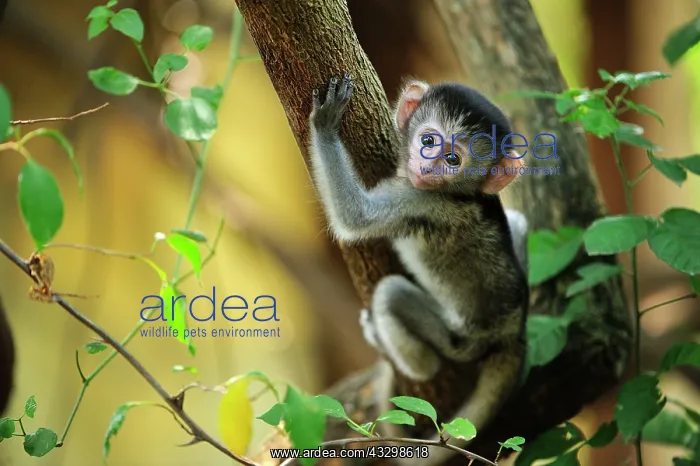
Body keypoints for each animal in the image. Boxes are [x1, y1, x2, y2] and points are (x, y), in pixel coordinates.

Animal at [308, 74, 530, 464]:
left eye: (453, 159)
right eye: (428, 140)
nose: (429, 167)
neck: (463, 194)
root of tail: (513, 330)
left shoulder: (421, 199)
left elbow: (355, 216)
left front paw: (324, 124)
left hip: (459, 341)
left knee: (392, 296)